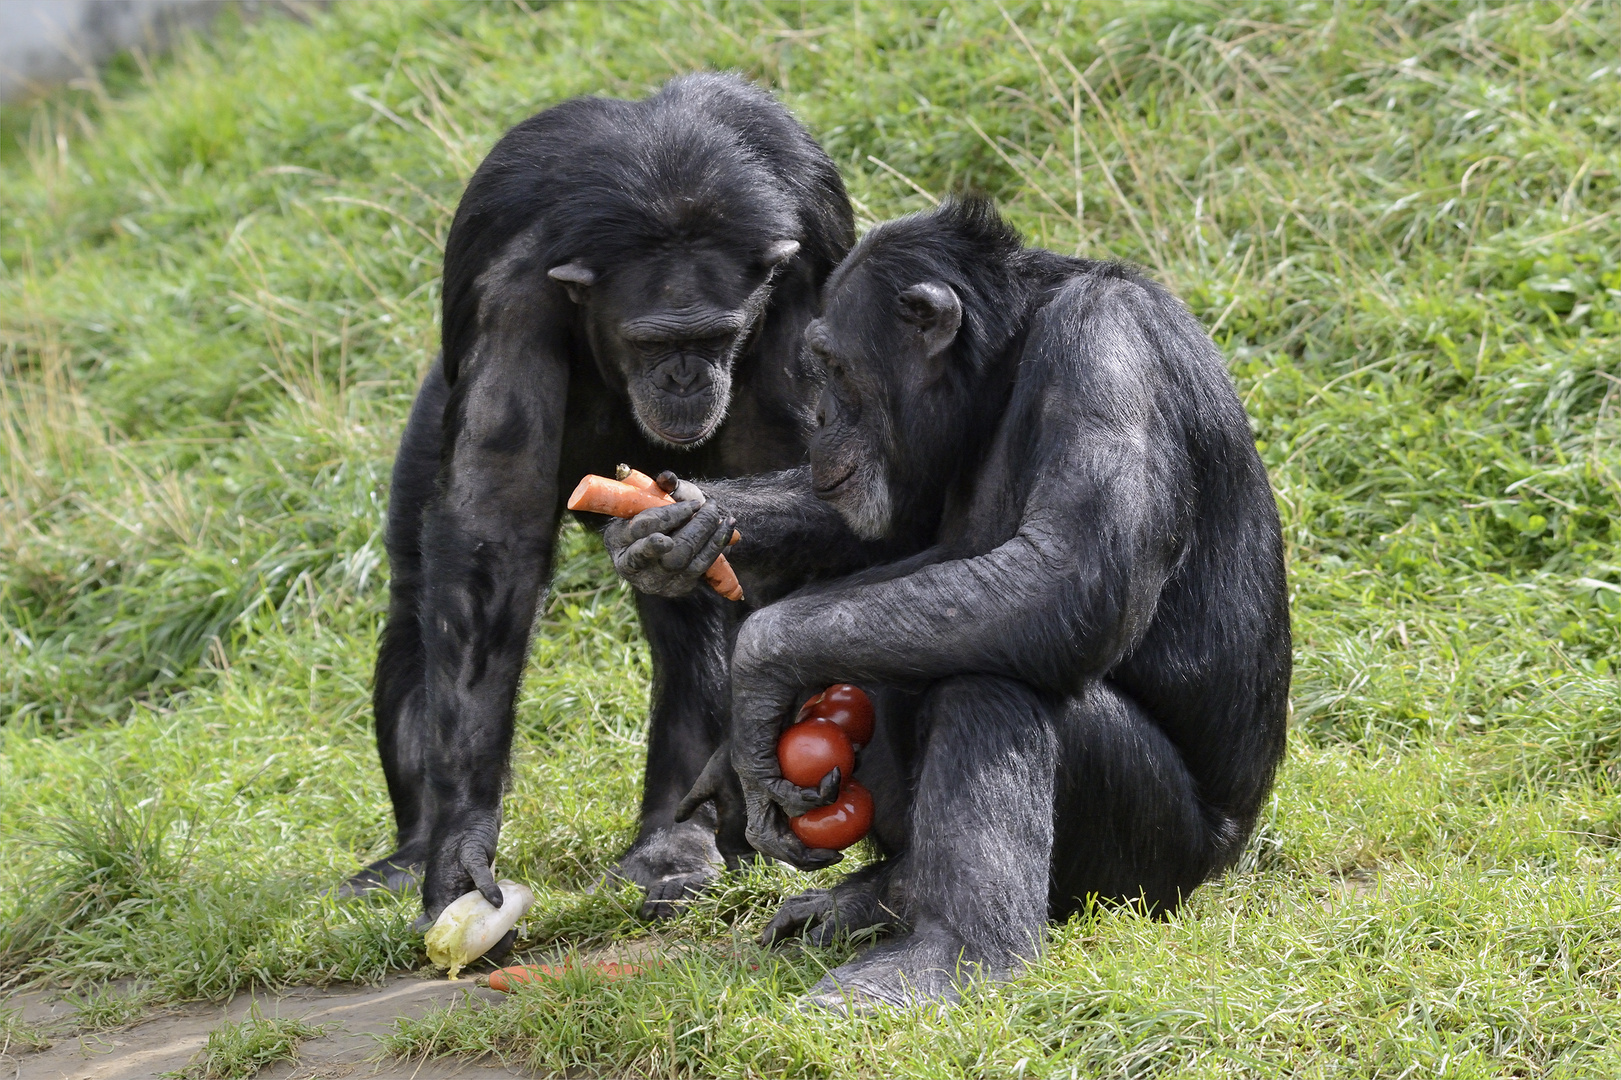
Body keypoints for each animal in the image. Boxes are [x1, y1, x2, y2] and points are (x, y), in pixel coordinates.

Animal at [335, 71, 855, 921]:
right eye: (651, 342)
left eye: (714, 338)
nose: (684, 377)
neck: (668, 181)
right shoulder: (508, 289)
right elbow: (492, 522)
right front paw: (461, 843)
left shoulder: (802, 283)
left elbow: (816, 471)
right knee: (417, 592)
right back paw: (410, 852)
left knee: (690, 615)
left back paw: (676, 843)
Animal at [619, 197, 1290, 1005]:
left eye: (833, 367)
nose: (819, 421)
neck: (1007, 362)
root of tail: (1228, 857)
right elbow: (880, 532)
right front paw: (680, 526)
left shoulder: (1105, 348)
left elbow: (1068, 573)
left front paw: (756, 672)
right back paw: (874, 895)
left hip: (1153, 870)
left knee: (987, 681)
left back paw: (949, 956)